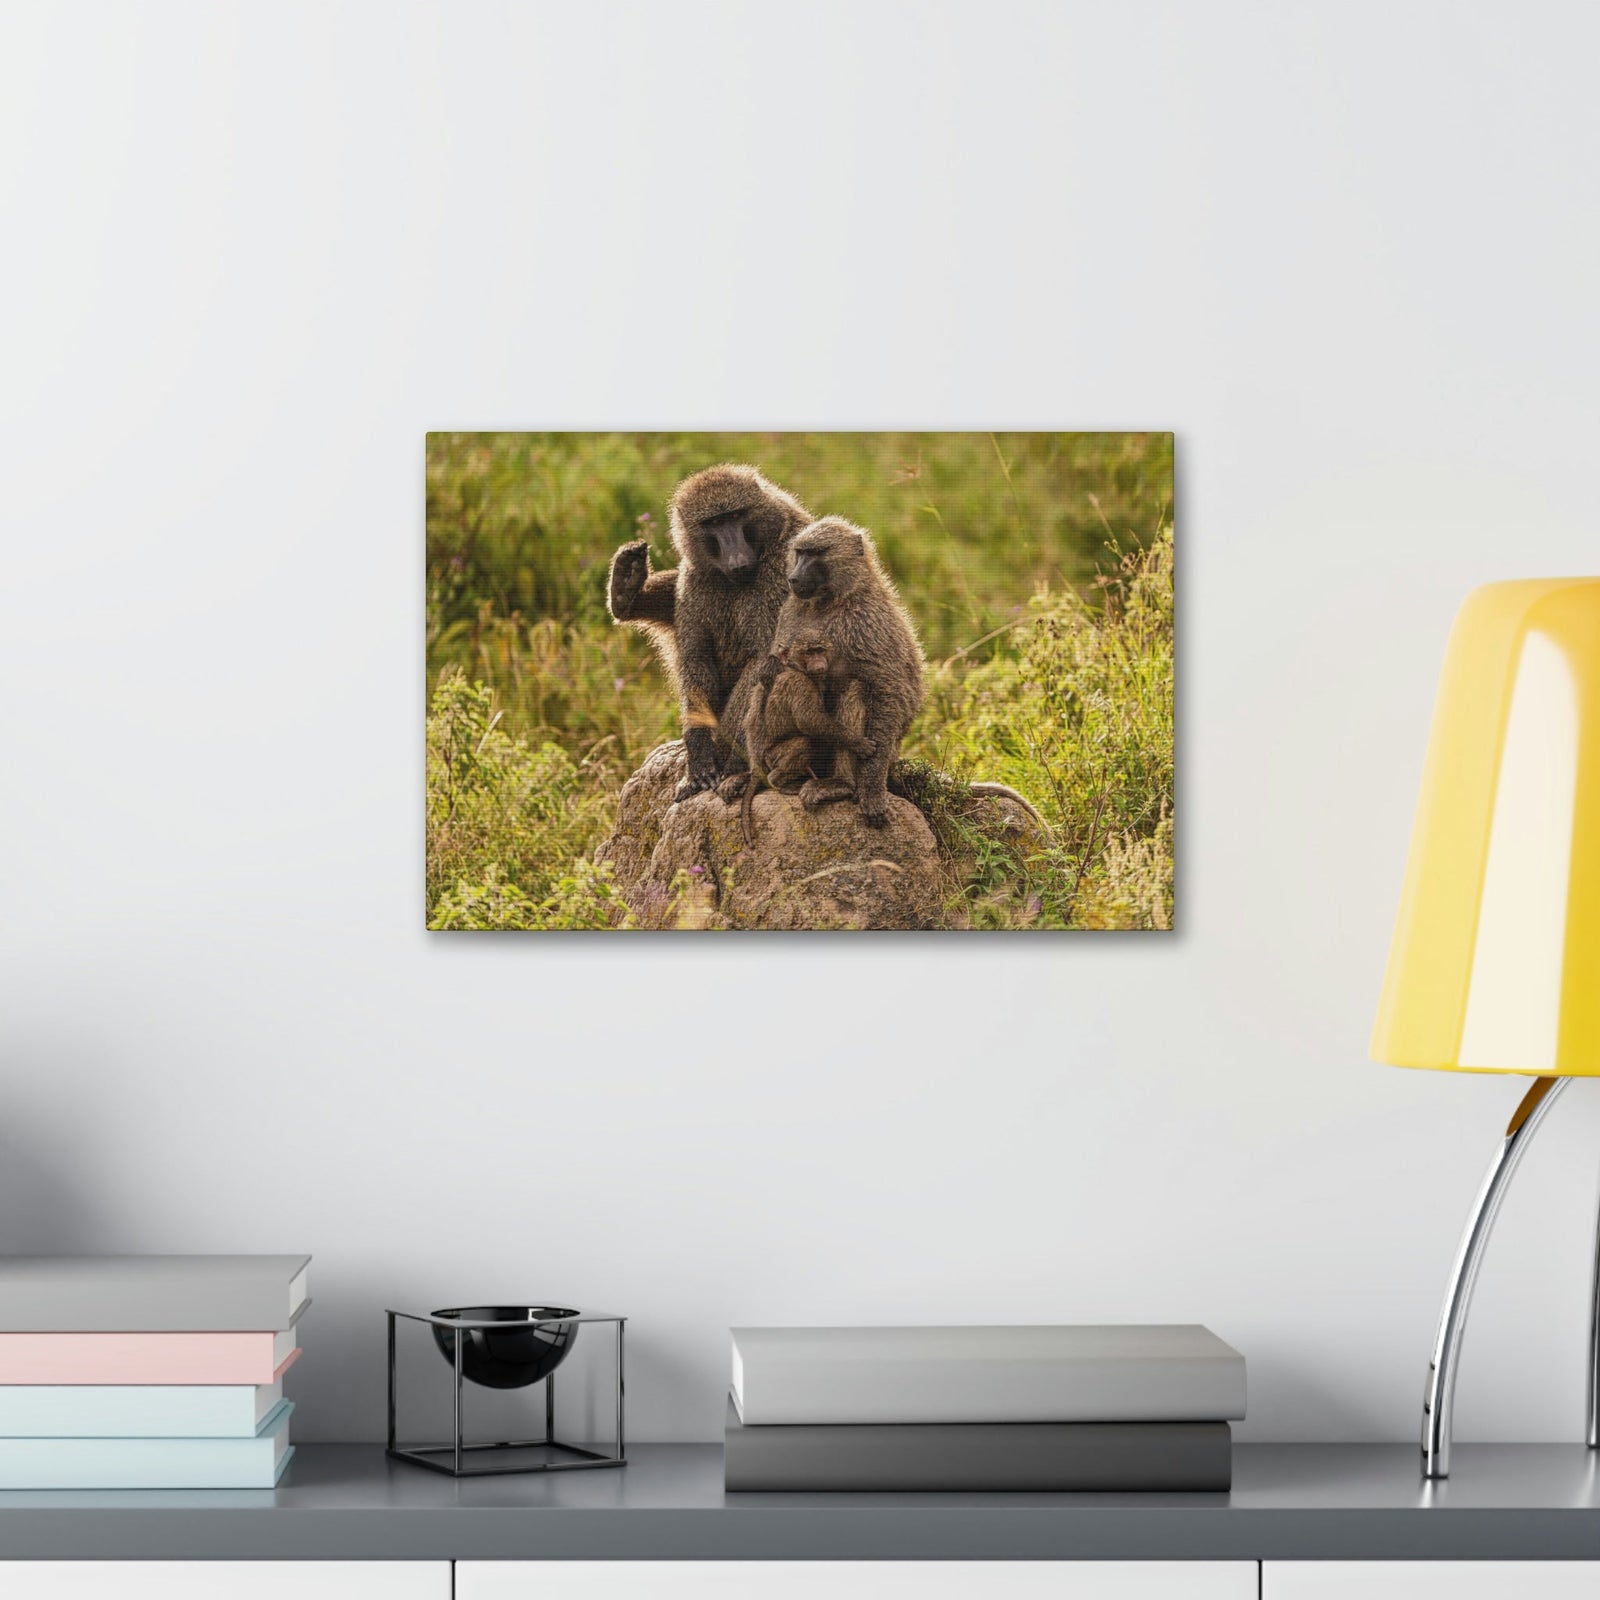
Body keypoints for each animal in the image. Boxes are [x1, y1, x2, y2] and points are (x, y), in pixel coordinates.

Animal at [606, 464, 812, 803]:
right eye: (713, 523)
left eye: (735, 516)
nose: (737, 559)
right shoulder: (696, 578)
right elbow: (696, 656)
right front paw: (700, 756)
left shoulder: (783, 573)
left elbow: (765, 662)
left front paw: (732, 764)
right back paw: (625, 592)